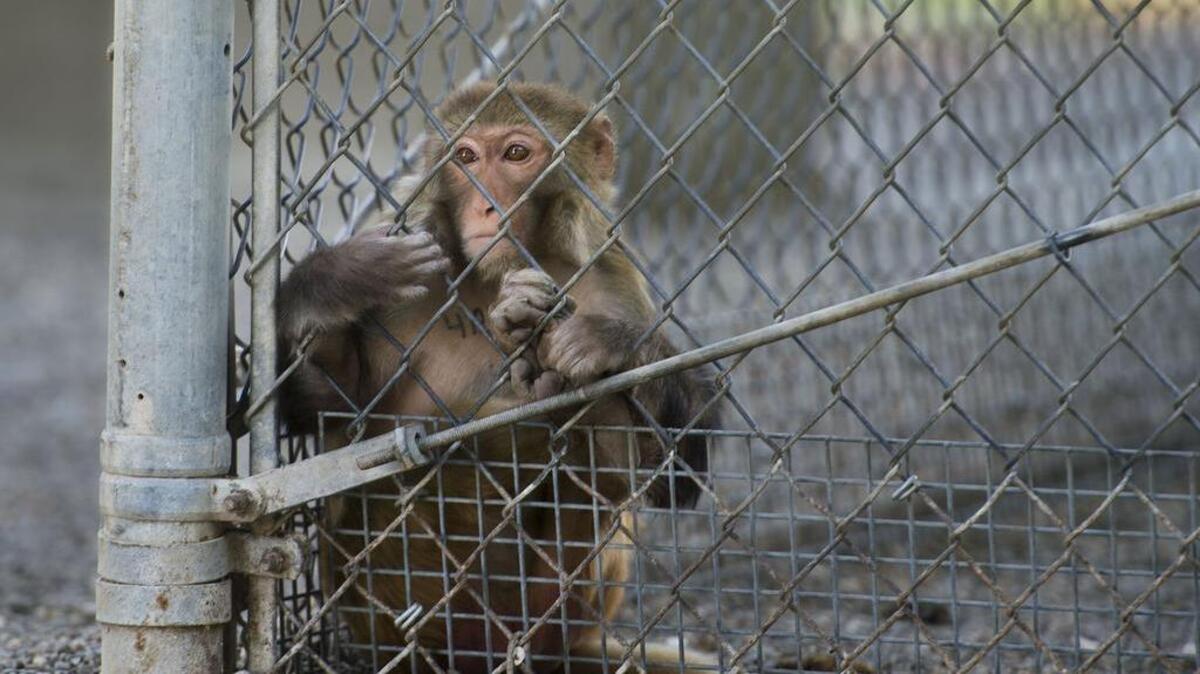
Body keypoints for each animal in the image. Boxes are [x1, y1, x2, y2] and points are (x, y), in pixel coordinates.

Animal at [276, 82, 722, 674]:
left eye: (516, 154)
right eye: (466, 157)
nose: (487, 204)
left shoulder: (615, 280)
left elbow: (674, 473)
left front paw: (609, 341)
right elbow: (334, 414)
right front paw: (333, 282)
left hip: (569, 607)